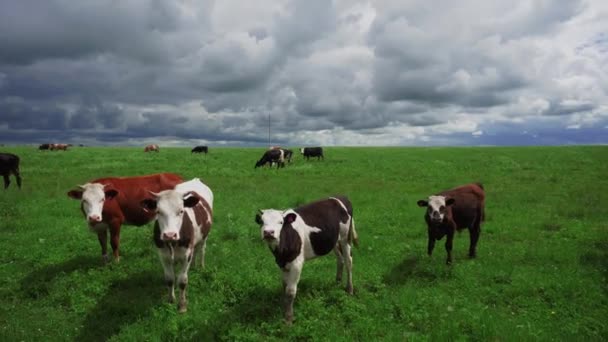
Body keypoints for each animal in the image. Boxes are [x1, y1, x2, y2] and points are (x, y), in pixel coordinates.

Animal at [141, 178, 214, 314]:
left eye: (181, 211)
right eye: (158, 211)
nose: (170, 235)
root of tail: (196, 179)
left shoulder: (186, 255)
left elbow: (182, 281)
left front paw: (182, 305)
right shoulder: (163, 255)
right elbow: (170, 279)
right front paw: (171, 300)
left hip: (204, 236)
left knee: (202, 250)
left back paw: (201, 266)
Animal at [255, 195, 358, 324]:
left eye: (281, 222)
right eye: (262, 222)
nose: (268, 232)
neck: (281, 251)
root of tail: (341, 197)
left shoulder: (297, 263)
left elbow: (290, 291)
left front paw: (288, 318)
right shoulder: (282, 263)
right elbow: (285, 287)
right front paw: (284, 310)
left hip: (345, 238)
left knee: (349, 261)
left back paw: (350, 289)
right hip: (333, 240)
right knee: (340, 259)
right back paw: (337, 281)